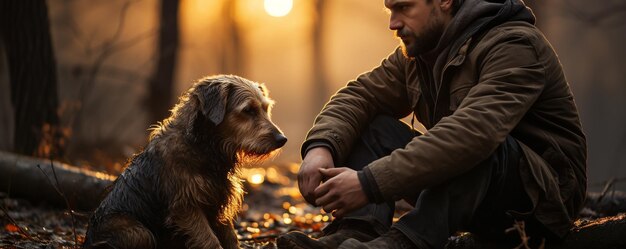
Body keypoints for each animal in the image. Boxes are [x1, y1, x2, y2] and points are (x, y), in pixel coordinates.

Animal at [83, 74, 288, 249]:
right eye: (248, 110)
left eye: (265, 108)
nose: (282, 139)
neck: (203, 147)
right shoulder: (186, 208)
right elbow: (210, 241)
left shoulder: (219, 206)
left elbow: (231, 238)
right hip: (137, 232)